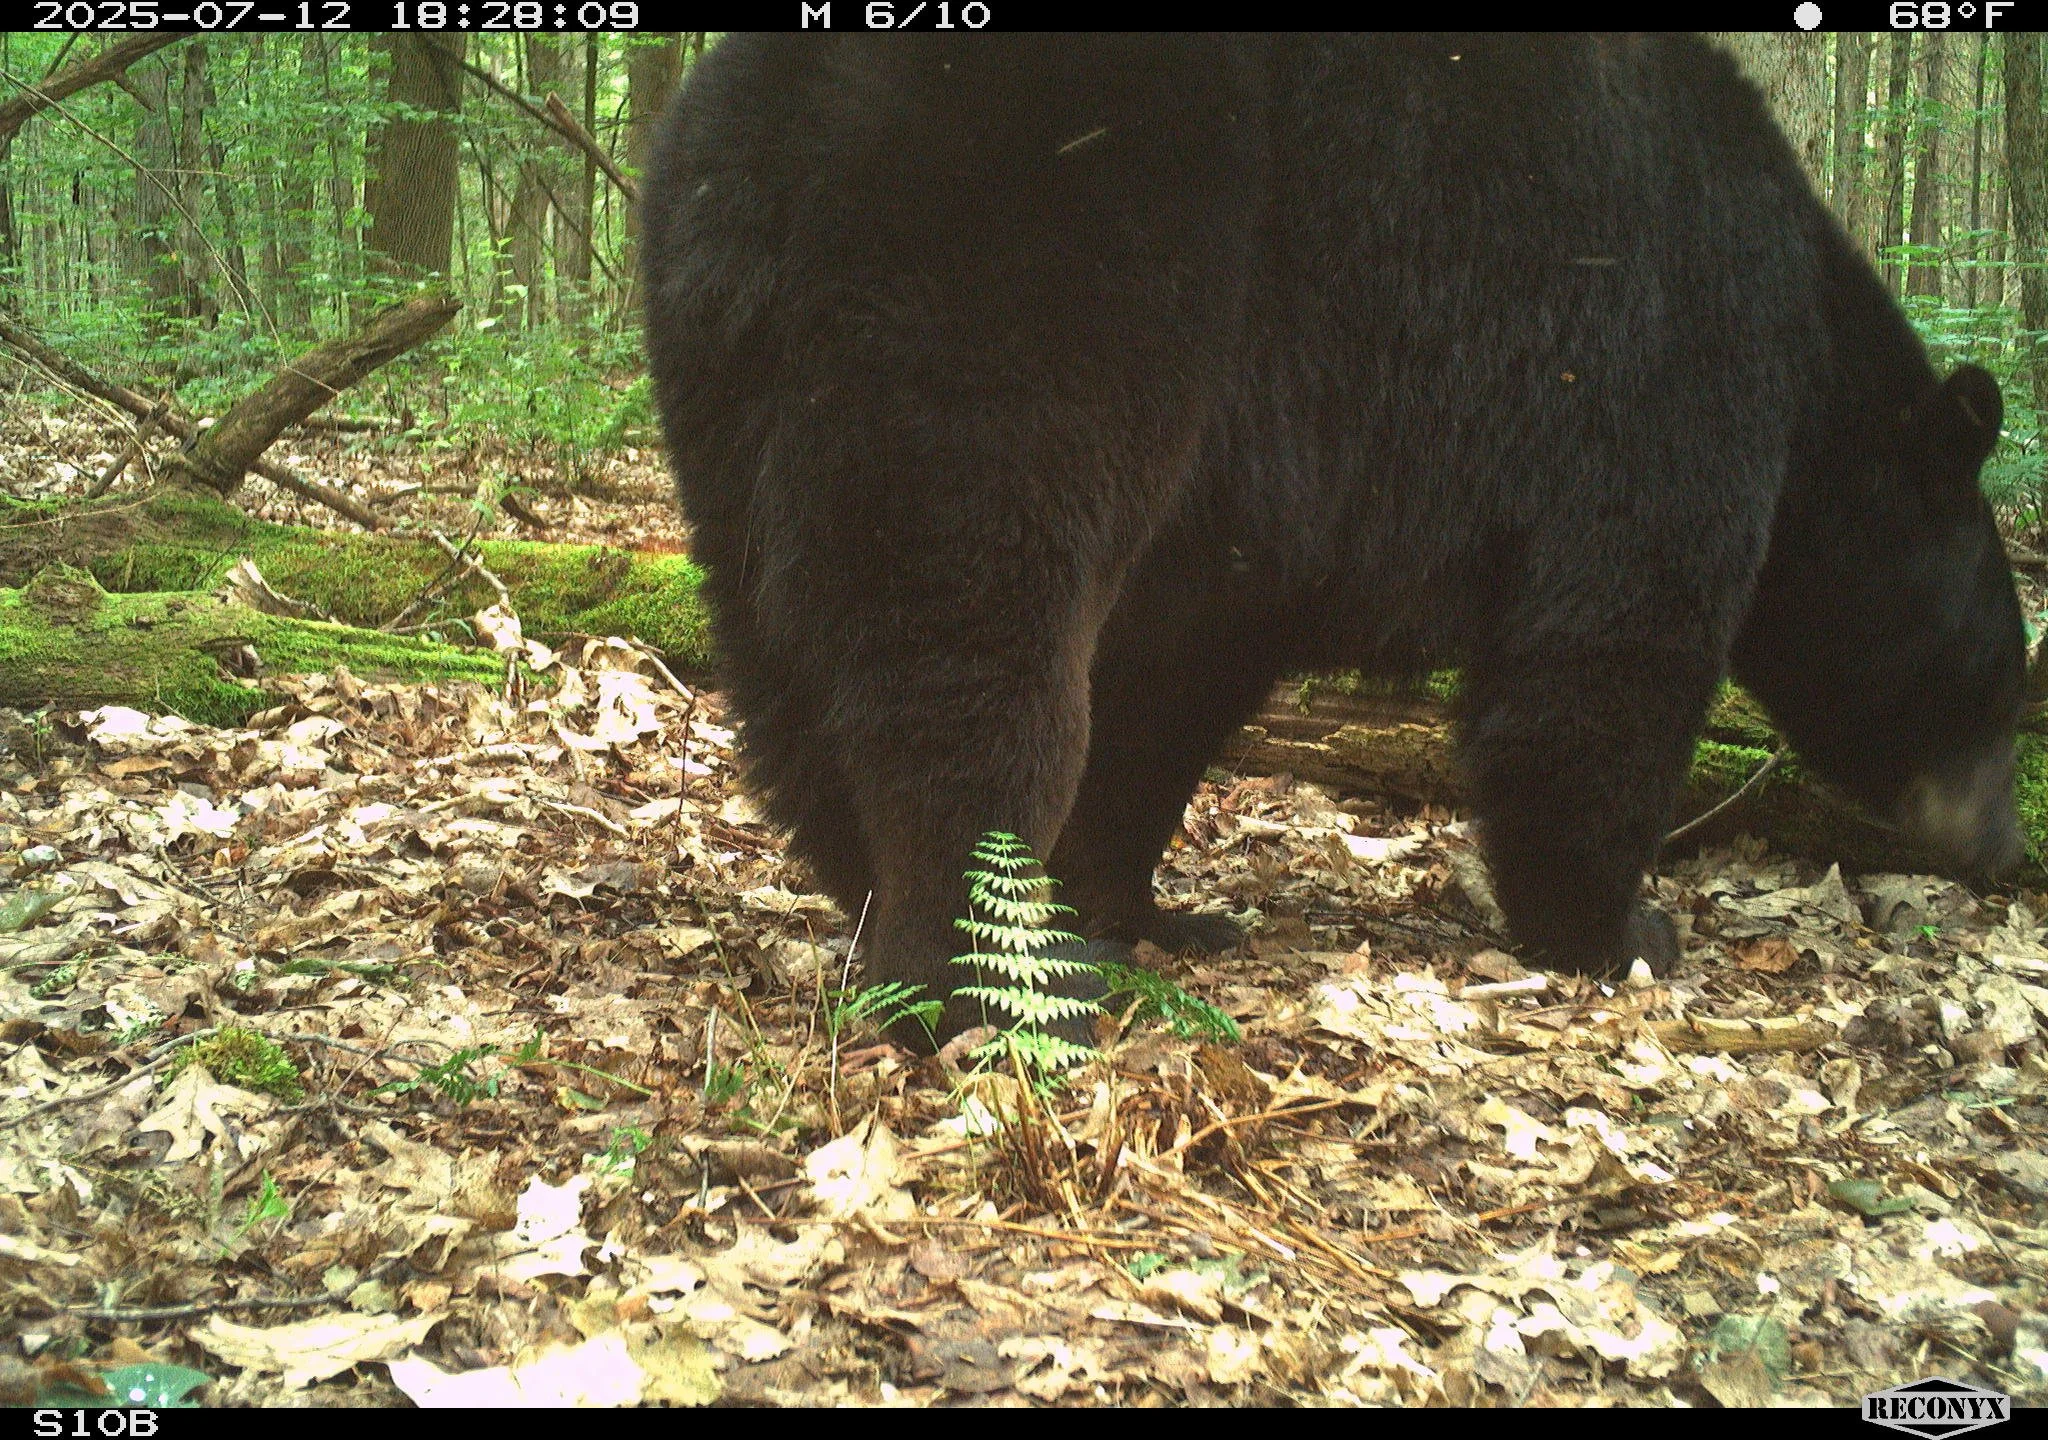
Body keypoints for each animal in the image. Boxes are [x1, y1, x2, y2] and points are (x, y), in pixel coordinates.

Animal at [641, 33, 2025, 1046]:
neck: (1811, 372)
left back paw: (888, 905)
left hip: (728, 377)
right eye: (2006, 681)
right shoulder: (1661, 377)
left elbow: (1167, 685)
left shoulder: (1251, 516)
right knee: (969, 630)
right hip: (1021, 262)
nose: (2007, 851)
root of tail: (773, 122)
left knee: (784, 650)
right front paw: (1619, 930)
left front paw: (1139, 903)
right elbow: (1602, 663)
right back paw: (982, 975)